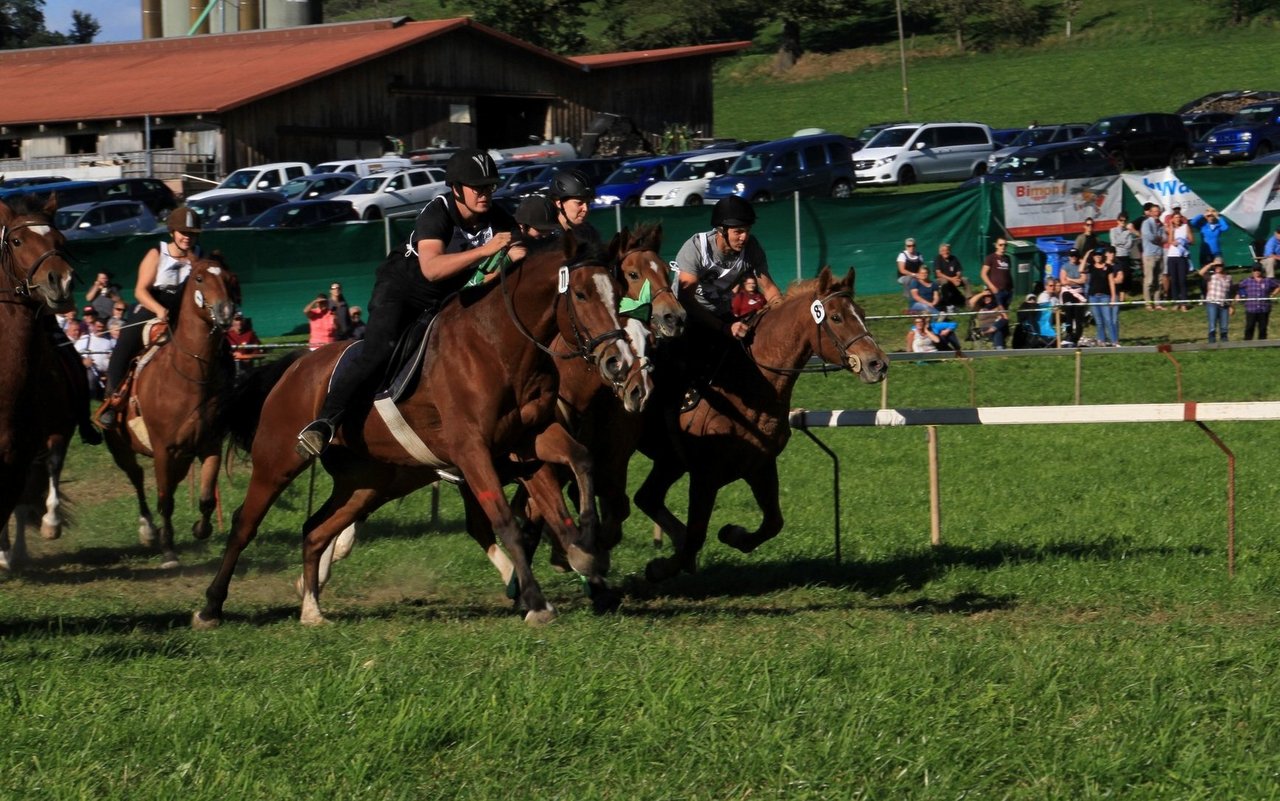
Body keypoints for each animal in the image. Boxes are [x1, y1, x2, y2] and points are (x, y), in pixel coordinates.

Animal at [102, 252, 240, 565]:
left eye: (230, 278)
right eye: (199, 278)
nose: (226, 312)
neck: (189, 375)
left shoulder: (209, 445)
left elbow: (206, 498)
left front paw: (201, 529)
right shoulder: (163, 449)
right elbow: (165, 500)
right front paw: (168, 549)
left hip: (182, 457)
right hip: (121, 449)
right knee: (138, 479)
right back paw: (148, 530)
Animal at [193, 230, 634, 624]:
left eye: (618, 291)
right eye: (581, 295)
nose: (618, 361)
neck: (499, 344)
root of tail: (295, 365)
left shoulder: (530, 438)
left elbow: (578, 466)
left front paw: (587, 549)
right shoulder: (471, 450)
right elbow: (506, 522)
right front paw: (538, 603)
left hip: (366, 482)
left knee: (316, 530)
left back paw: (312, 610)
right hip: (278, 460)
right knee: (244, 525)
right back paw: (211, 607)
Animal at [632, 266, 890, 580]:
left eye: (862, 313)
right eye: (836, 317)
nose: (877, 364)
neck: (751, 381)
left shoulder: (760, 465)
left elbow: (773, 522)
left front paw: (734, 534)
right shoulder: (705, 474)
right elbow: (696, 535)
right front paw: (661, 567)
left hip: (670, 462)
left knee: (647, 497)